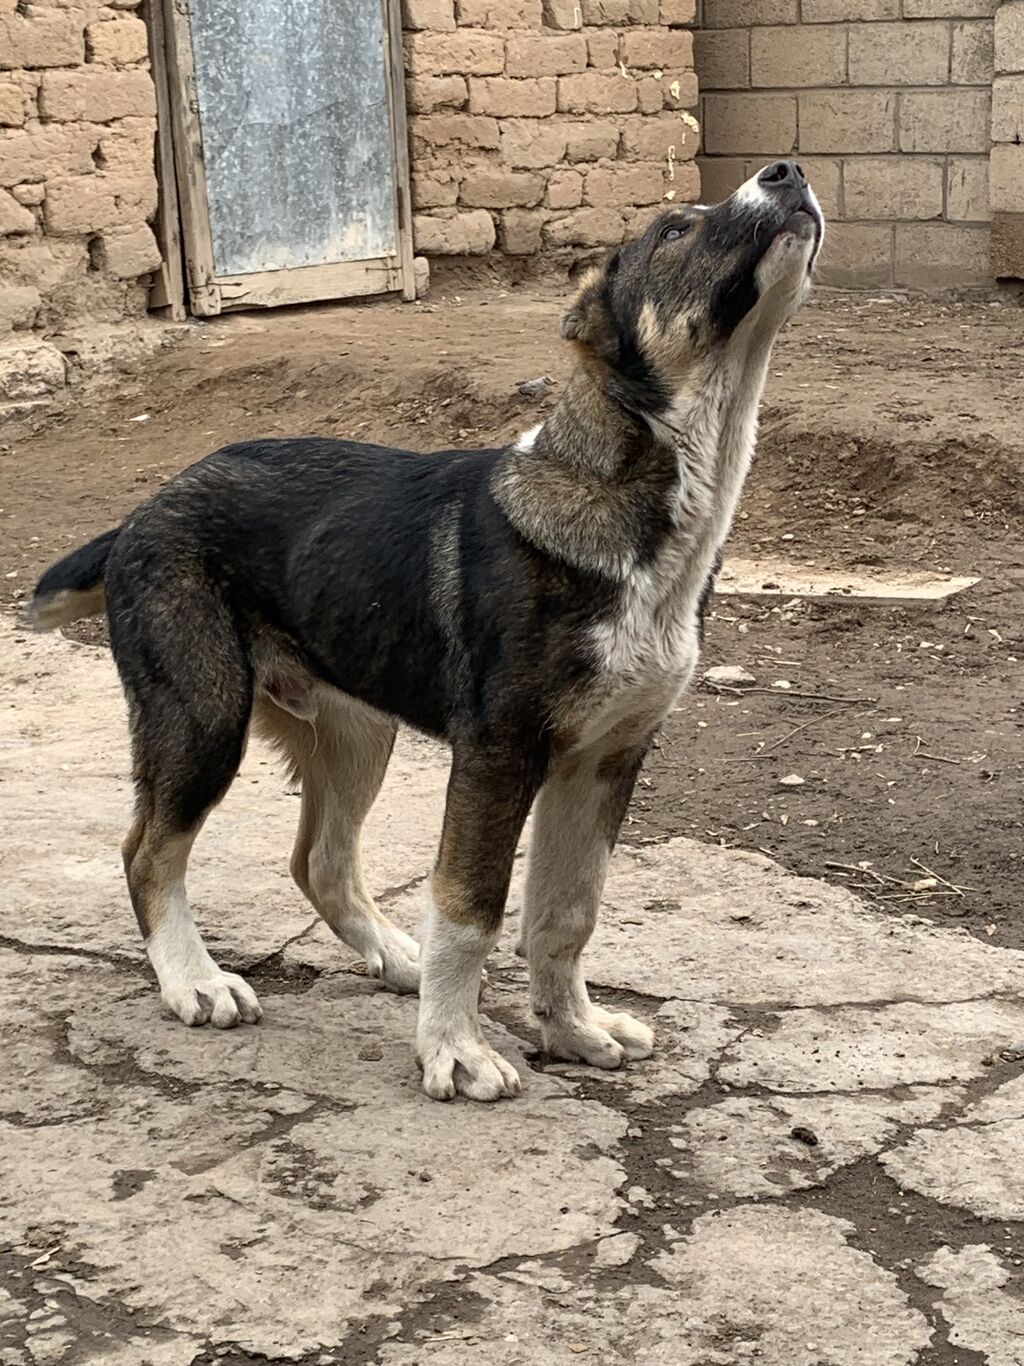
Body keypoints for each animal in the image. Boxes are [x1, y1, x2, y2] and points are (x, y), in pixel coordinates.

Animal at [30, 159, 824, 1098]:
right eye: (673, 230)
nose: (786, 170)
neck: (646, 504)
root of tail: (143, 510)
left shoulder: (604, 759)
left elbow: (567, 910)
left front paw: (572, 1030)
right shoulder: (498, 756)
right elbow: (472, 908)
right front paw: (454, 1047)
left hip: (354, 730)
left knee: (319, 861)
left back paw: (392, 957)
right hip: (203, 718)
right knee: (149, 851)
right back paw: (194, 981)